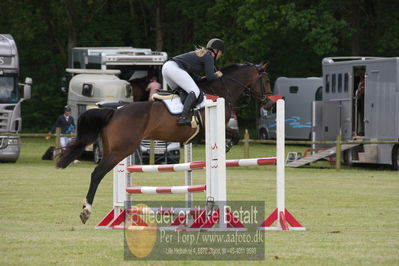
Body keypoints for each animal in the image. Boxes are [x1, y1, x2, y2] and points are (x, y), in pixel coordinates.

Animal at [57, 61, 274, 222]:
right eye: (266, 80)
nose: (269, 104)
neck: (221, 90)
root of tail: (114, 112)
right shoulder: (210, 128)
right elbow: (235, 135)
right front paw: (226, 146)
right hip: (121, 151)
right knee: (97, 173)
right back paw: (86, 211)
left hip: (114, 149)